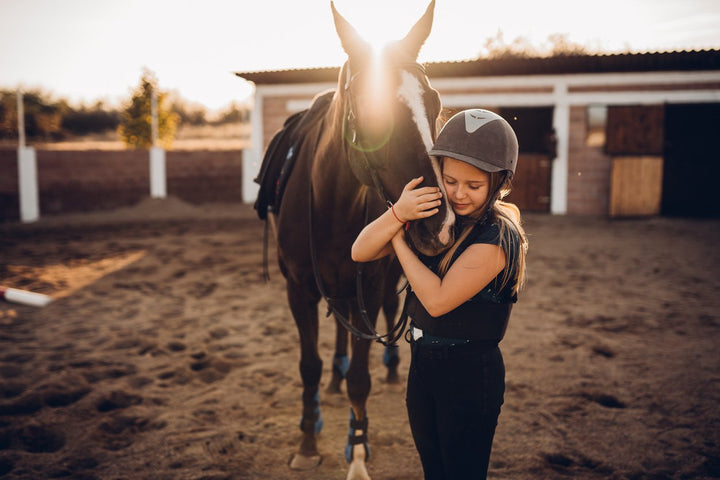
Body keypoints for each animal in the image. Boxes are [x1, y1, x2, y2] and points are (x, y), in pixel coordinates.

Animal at [262, 2, 455, 478]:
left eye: (434, 103)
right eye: (370, 108)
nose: (439, 224)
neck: (332, 202)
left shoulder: (368, 283)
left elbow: (361, 379)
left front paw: (359, 450)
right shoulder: (299, 289)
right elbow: (308, 366)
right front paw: (308, 441)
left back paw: (389, 370)